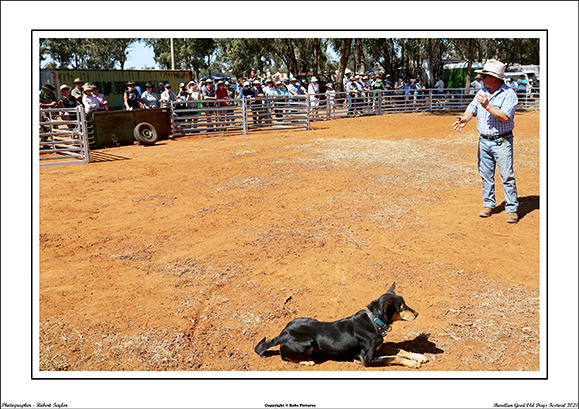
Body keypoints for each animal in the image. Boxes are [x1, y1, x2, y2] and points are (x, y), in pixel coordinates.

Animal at [256, 284, 428, 366]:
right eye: (402, 307)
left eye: (405, 304)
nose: (417, 313)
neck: (374, 321)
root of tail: (283, 332)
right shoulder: (367, 359)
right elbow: (394, 357)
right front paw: (413, 363)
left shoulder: (380, 347)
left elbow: (399, 350)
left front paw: (418, 356)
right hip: (306, 343)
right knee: (284, 356)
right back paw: (306, 360)